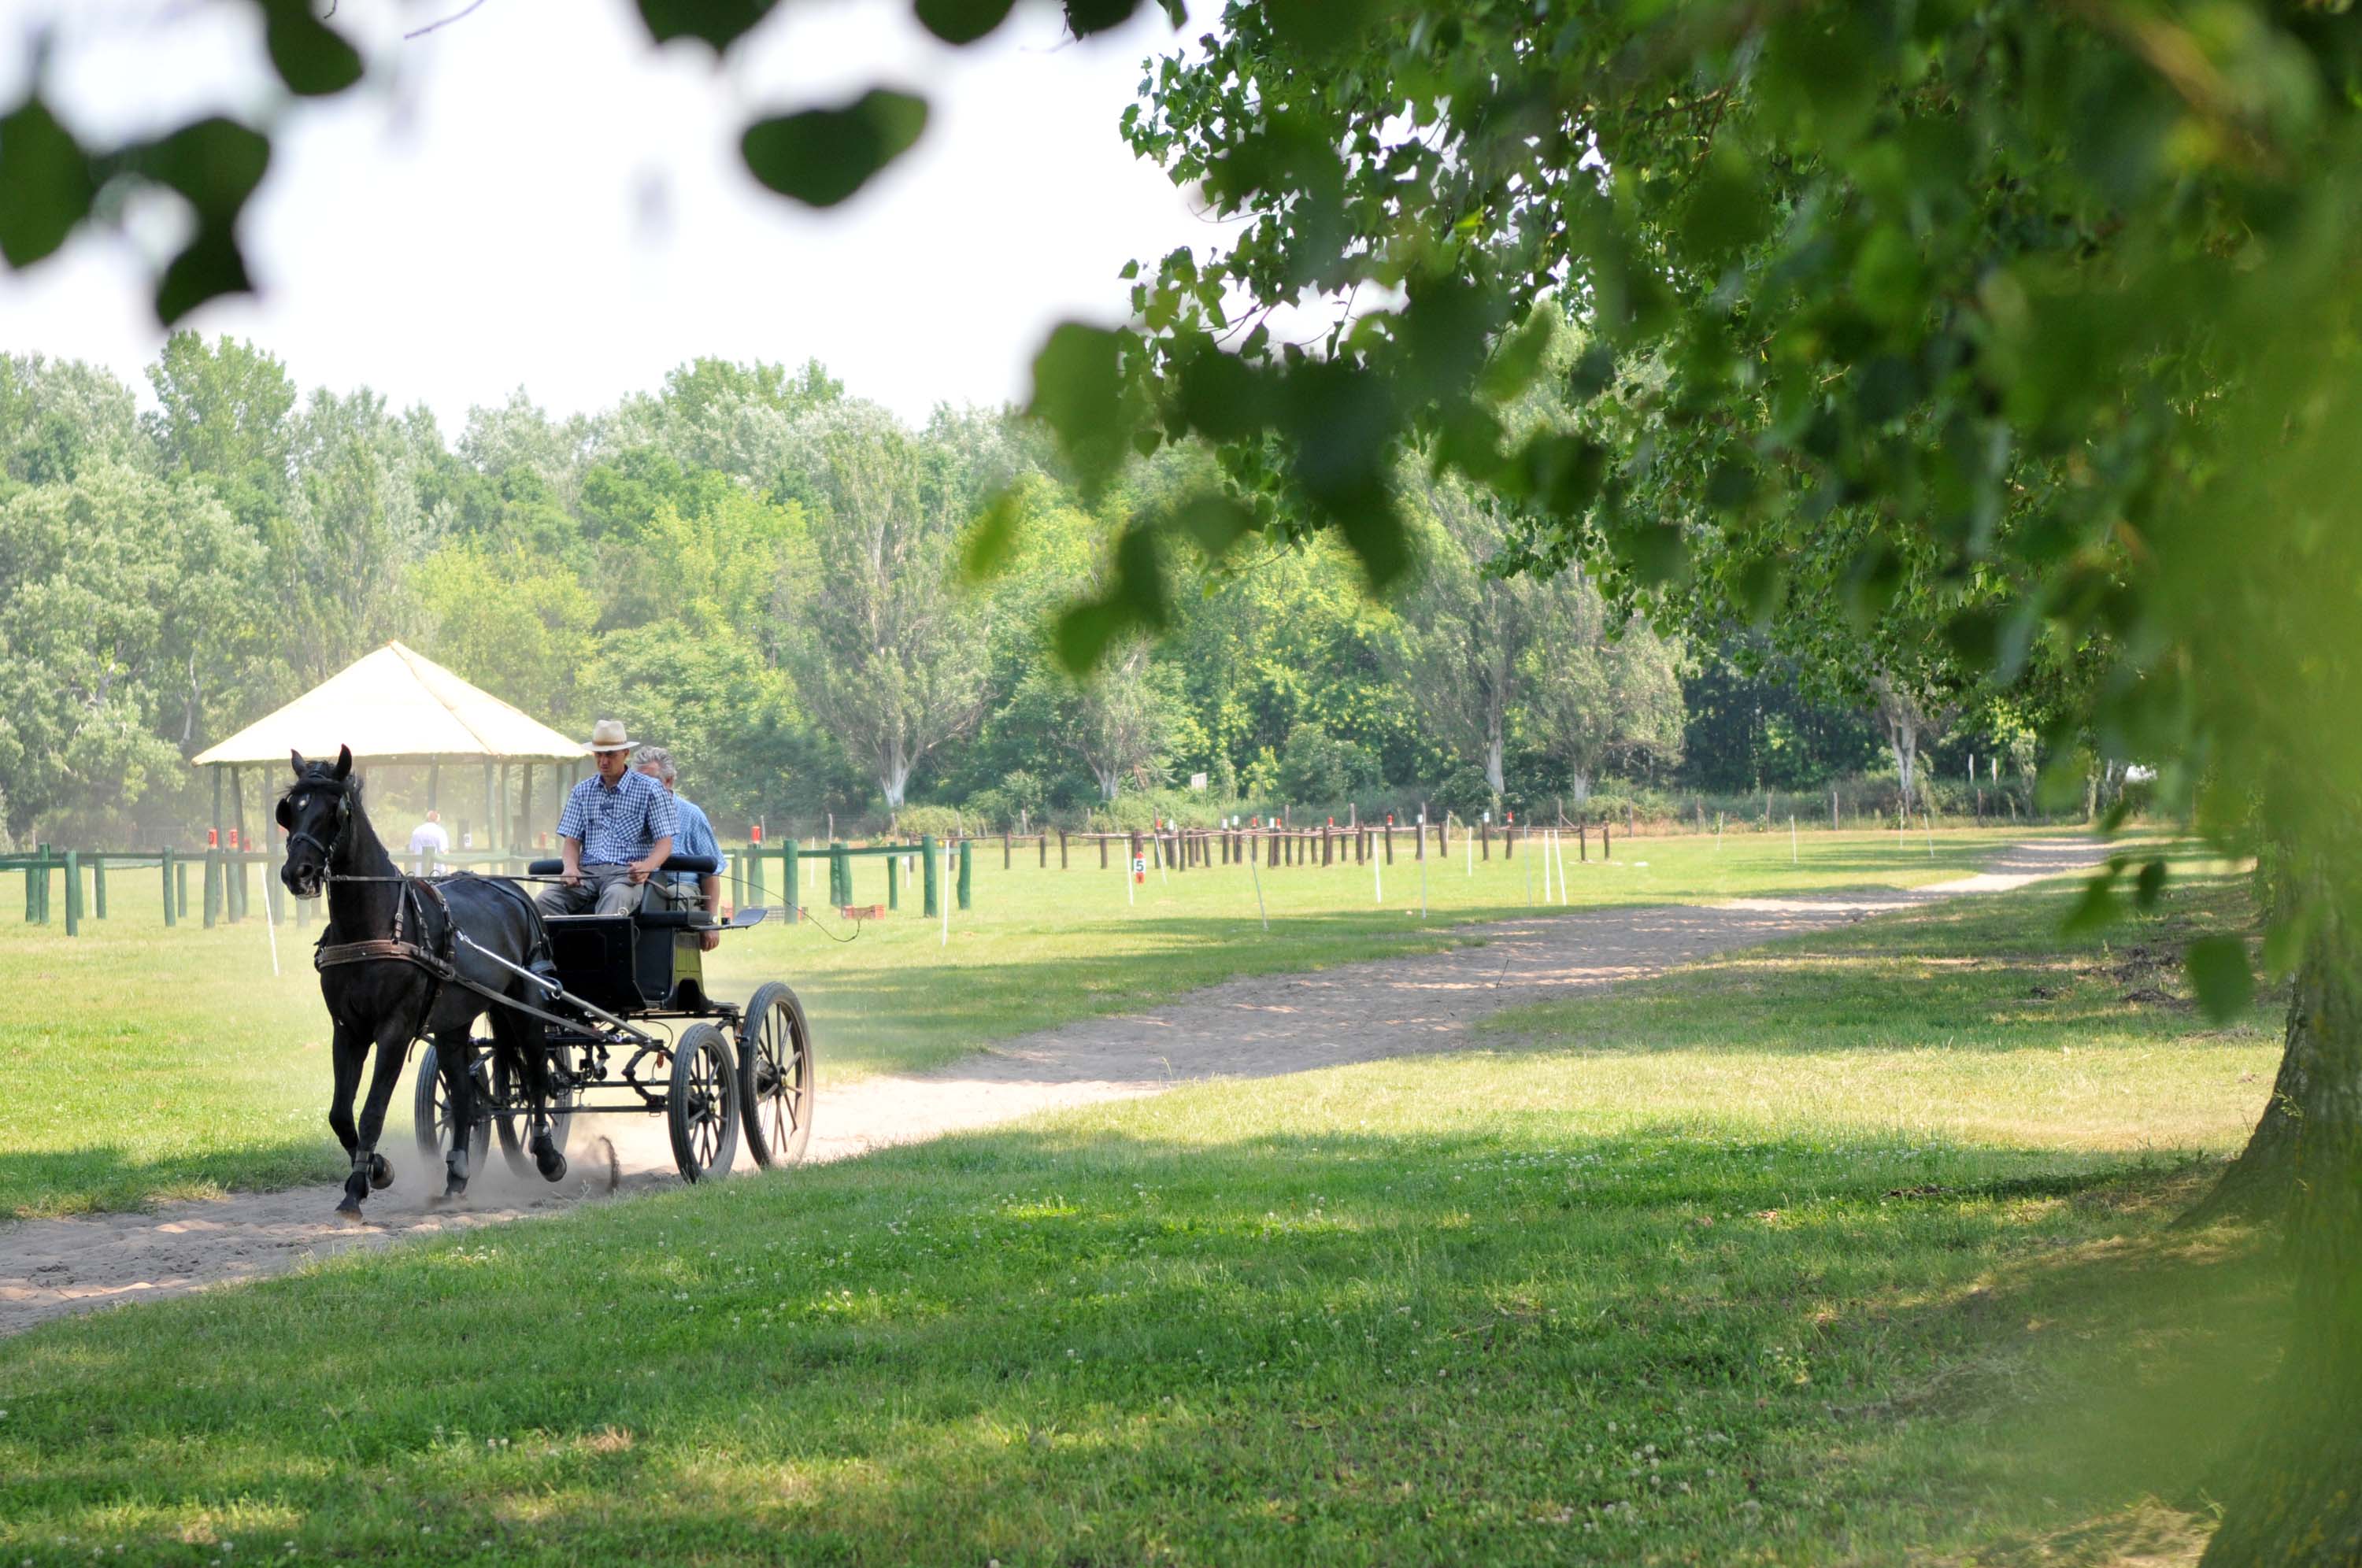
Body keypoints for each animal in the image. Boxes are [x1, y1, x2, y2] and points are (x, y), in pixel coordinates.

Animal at [276, 746, 567, 1209]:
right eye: (292, 810)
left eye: (335, 810)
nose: (297, 873)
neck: (371, 930)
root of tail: (516, 893)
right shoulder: (347, 1030)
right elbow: (340, 1114)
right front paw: (377, 1169)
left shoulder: (394, 1031)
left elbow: (372, 1110)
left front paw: (356, 1189)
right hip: (453, 1025)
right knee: (465, 1098)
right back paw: (458, 1174)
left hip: (525, 1007)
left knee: (539, 1074)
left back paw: (547, 1154)